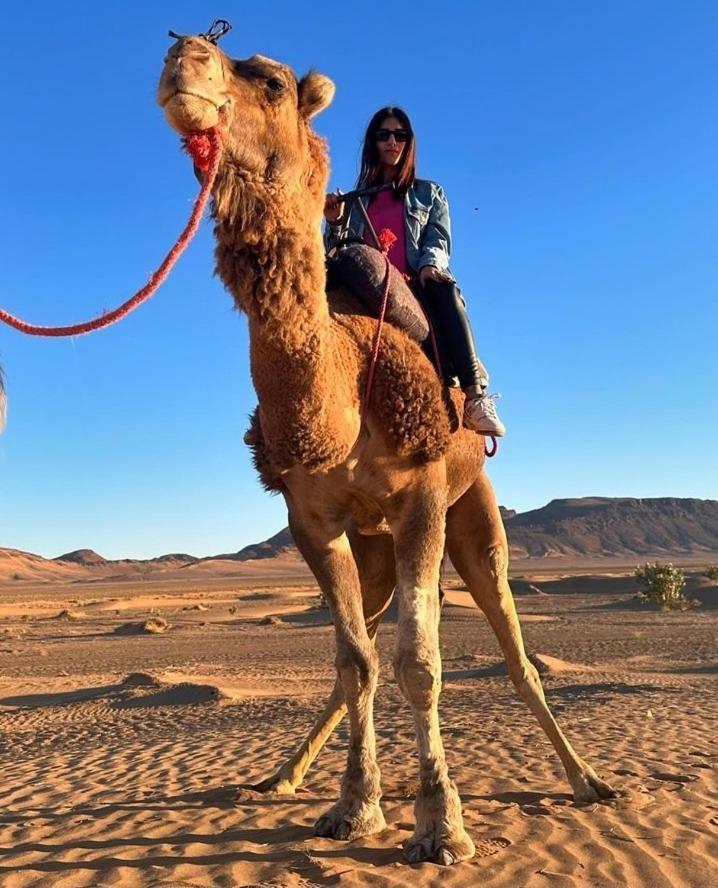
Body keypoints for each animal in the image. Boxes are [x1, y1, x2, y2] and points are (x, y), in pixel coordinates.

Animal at [159, 38, 620, 864]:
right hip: (372, 546)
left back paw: (587, 781)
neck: (343, 383)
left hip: (474, 512)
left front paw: (440, 825)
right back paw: (282, 776)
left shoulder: (424, 500)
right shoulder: (311, 521)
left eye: (269, 79)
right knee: (366, 647)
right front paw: (354, 806)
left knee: (516, 653)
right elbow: (354, 663)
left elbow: (420, 665)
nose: (185, 57)